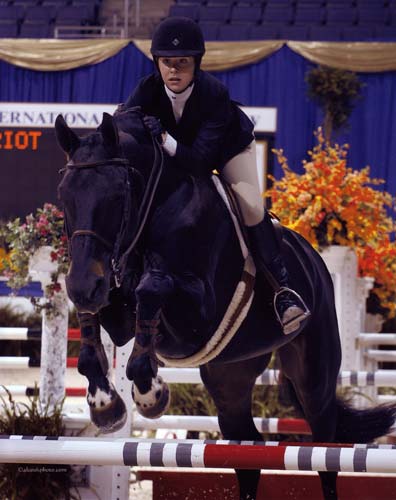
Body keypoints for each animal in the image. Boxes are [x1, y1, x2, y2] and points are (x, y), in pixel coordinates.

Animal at [54, 110, 394, 500]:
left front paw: (149, 393)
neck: (155, 208)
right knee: (247, 448)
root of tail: (314, 259)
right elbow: (101, 321)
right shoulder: (117, 307)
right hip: (230, 377)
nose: (82, 286)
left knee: (325, 449)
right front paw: (105, 403)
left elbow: (151, 288)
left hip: (315, 378)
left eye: (116, 195)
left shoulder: (198, 317)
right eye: (64, 193)